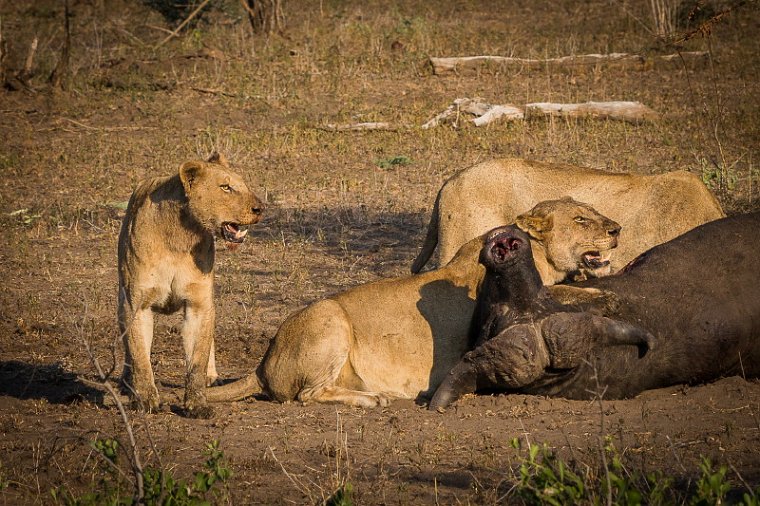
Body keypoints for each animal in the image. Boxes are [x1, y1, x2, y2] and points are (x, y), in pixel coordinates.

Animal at [117, 152, 262, 418]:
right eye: (225, 187)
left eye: (244, 185)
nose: (260, 209)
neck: (181, 237)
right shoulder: (136, 304)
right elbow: (139, 354)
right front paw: (145, 400)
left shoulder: (199, 303)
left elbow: (197, 359)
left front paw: (198, 404)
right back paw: (126, 380)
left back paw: (211, 376)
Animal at [206, 198, 616, 408]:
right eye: (581, 219)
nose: (617, 230)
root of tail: (263, 363)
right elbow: (563, 294)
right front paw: (604, 296)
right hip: (330, 316)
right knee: (307, 395)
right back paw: (374, 400)